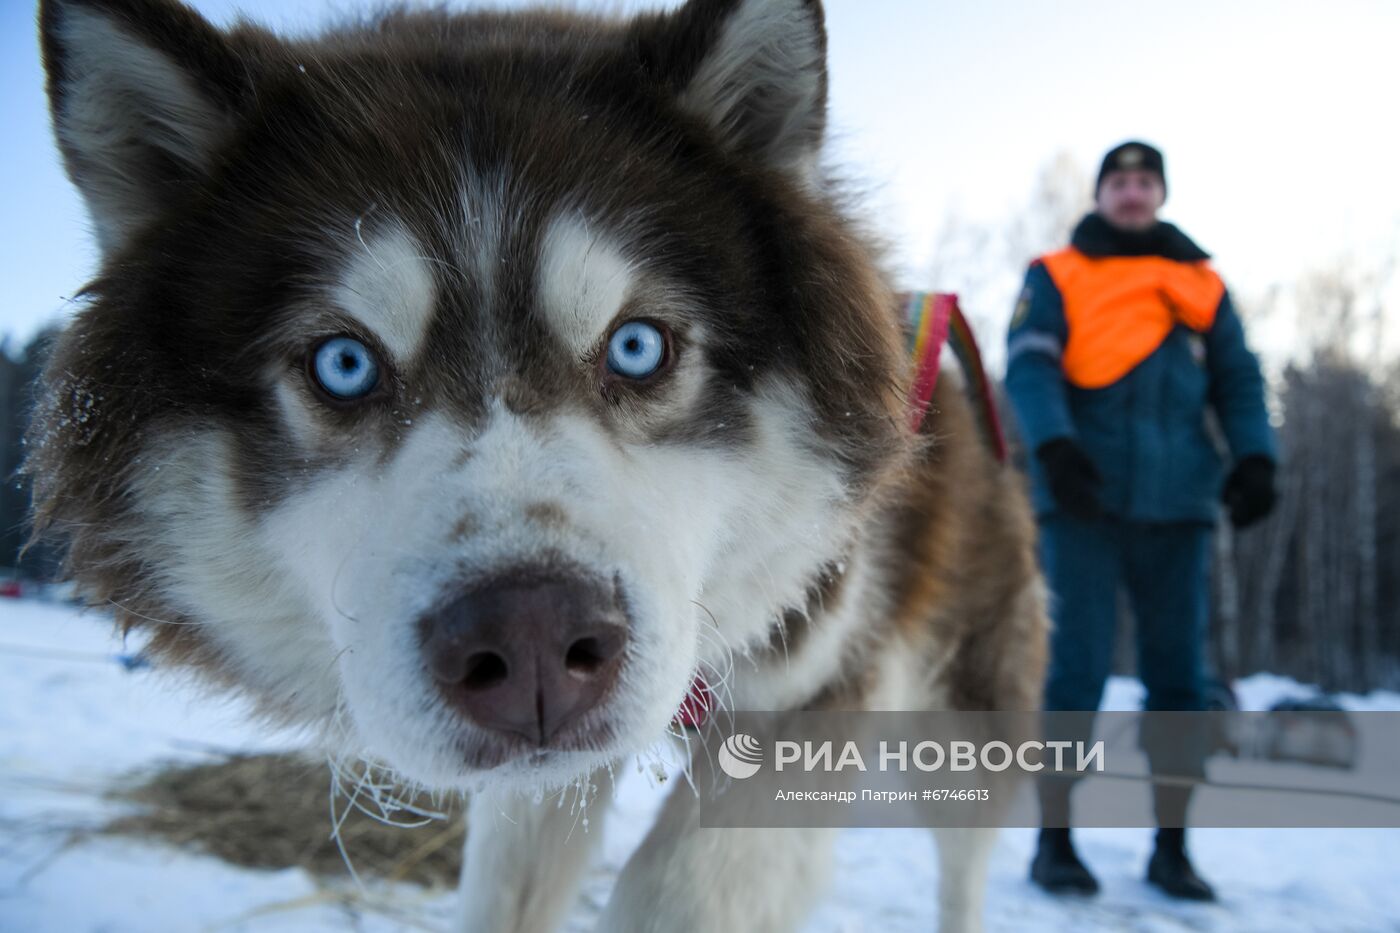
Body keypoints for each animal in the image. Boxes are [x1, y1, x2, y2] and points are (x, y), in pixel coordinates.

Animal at [32, 0, 1047, 924]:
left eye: (638, 346)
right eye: (343, 363)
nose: (530, 641)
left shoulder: (810, 691)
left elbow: (672, 889)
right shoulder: (542, 785)